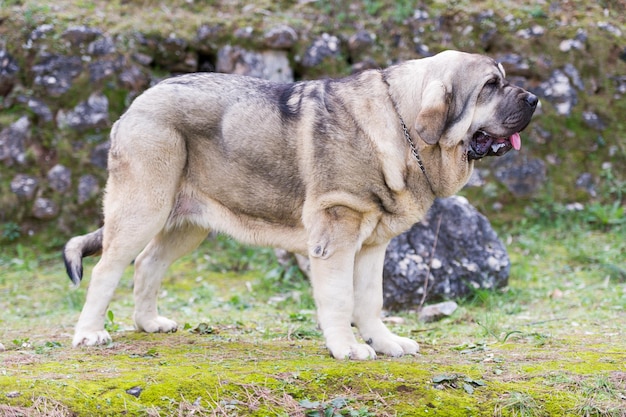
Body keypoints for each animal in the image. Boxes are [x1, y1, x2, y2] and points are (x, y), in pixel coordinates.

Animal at [63, 50, 532, 360]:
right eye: (491, 86)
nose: (533, 99)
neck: (403, 126)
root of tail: (137, 103)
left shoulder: (372, 246)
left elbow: (370, 300)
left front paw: (384, 343)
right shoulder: (336, 233)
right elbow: (340, 298)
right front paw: (347, 348)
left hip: (187, 223)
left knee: (148, 263)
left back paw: (149, 323)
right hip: (143, 207)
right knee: (108, 268)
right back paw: (89, 334)